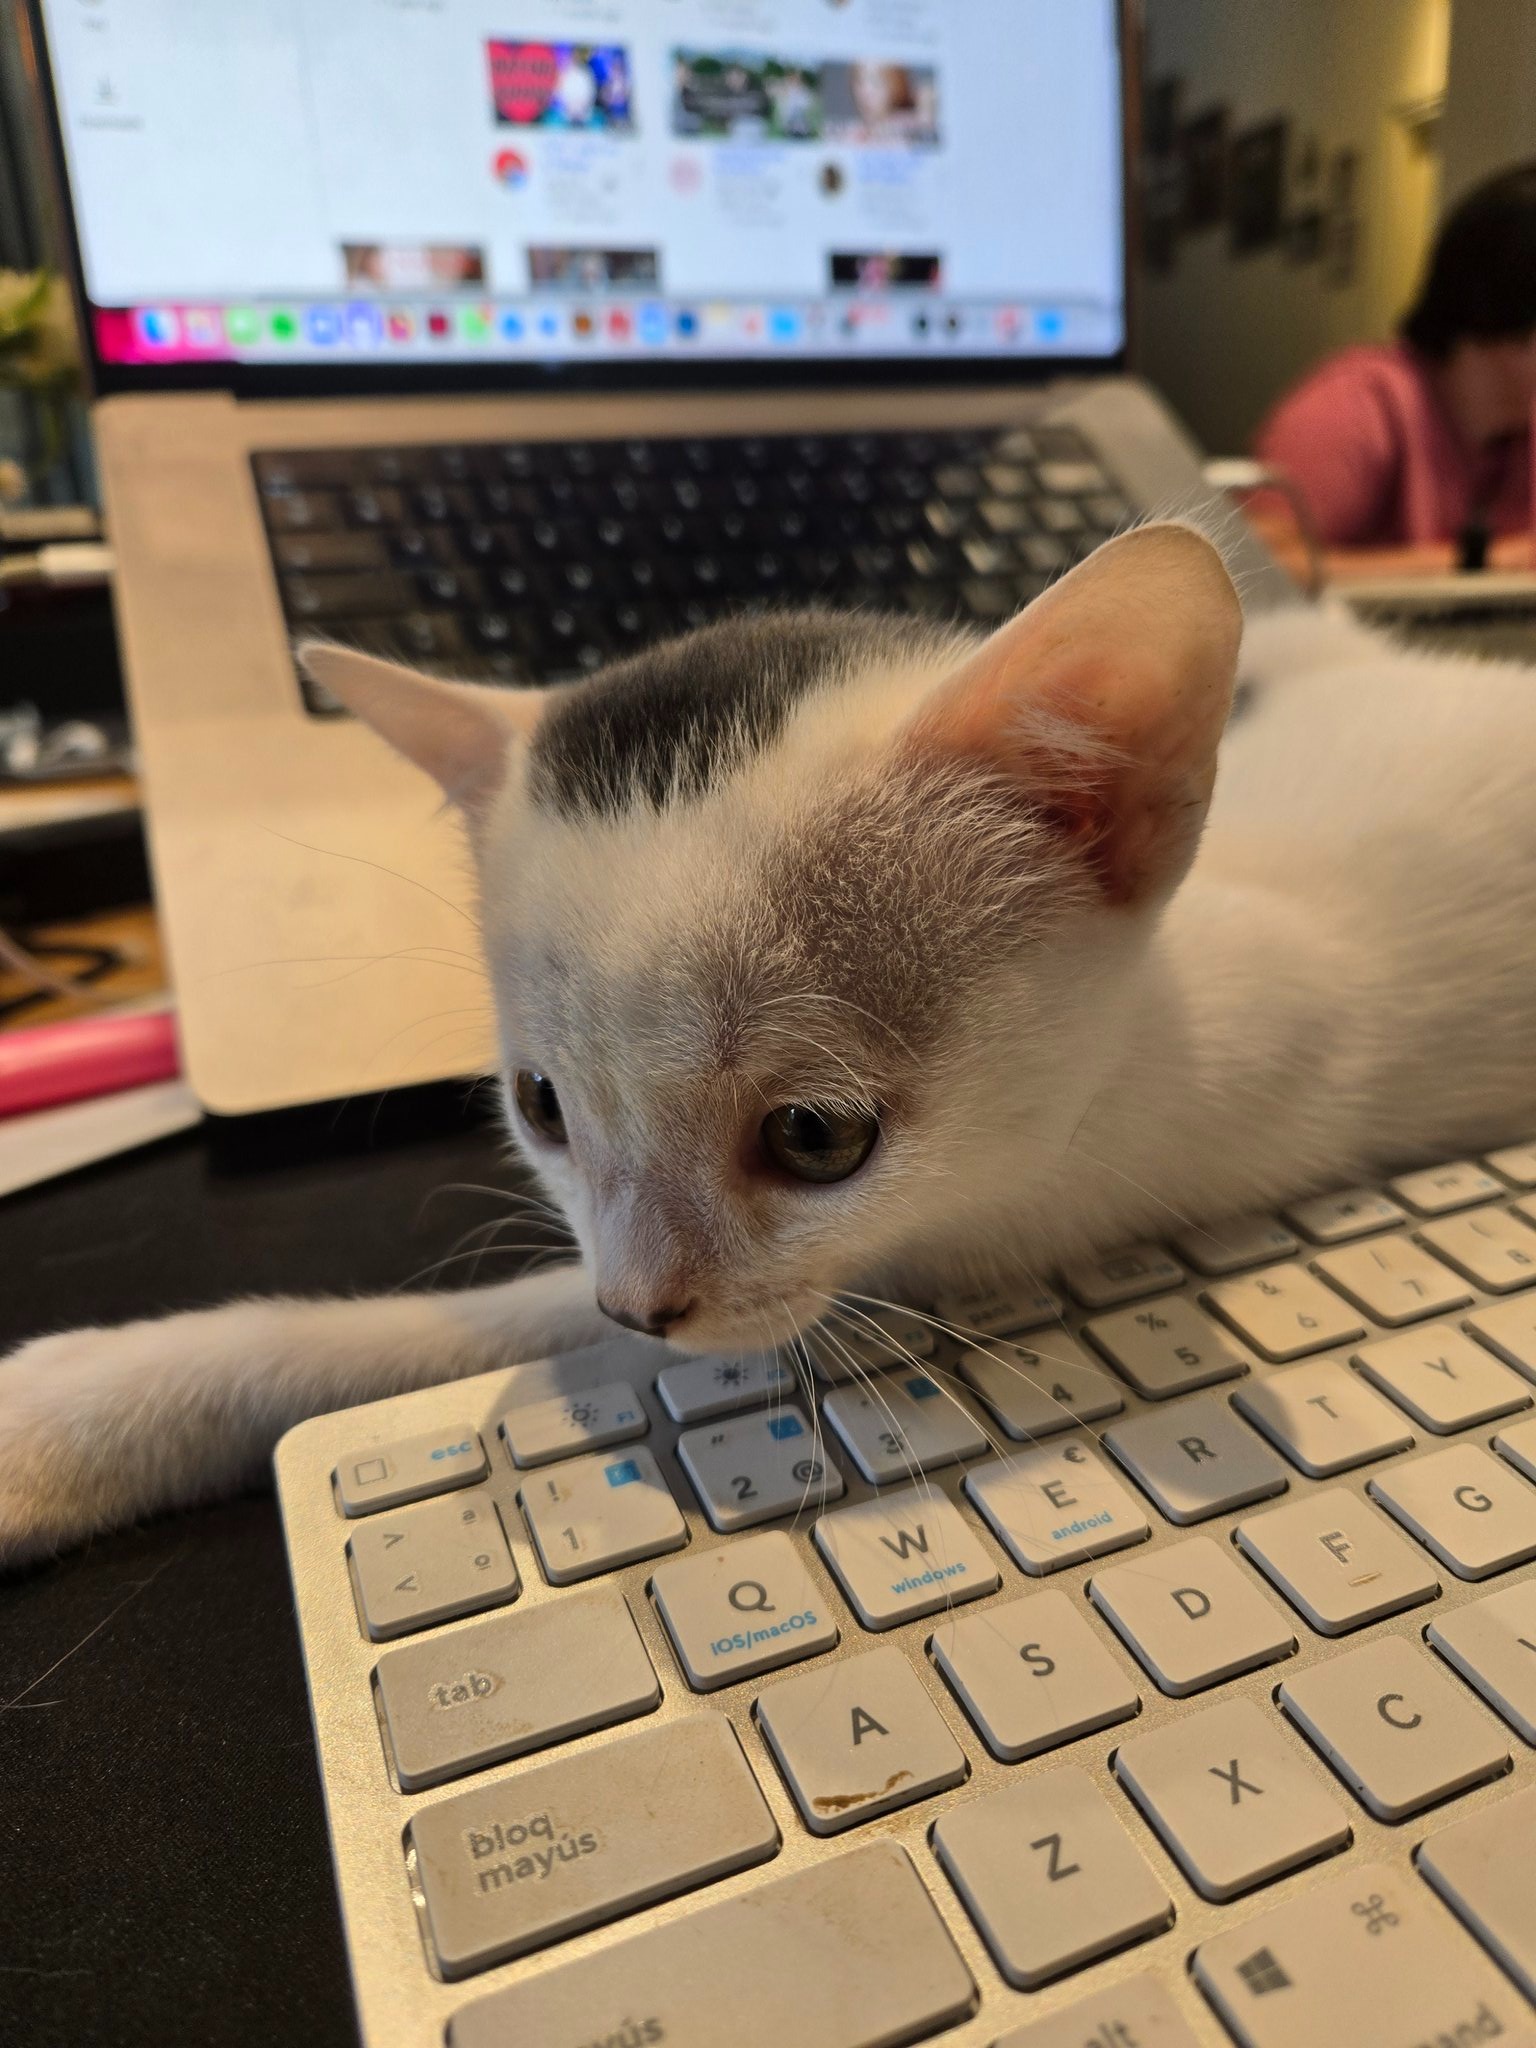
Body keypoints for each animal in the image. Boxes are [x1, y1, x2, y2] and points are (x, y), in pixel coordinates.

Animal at [3, 520, 1536, 1568]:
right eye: (542, 1106)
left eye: (816, 1137)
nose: (642, 1305)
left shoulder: (1012, 1216)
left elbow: (502, 1322)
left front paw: (64, 1421)